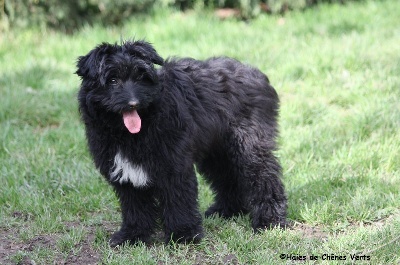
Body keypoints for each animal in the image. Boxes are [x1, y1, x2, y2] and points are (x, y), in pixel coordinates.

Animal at [76, 39, 288, 245]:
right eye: (112, 80)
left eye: (140, 77)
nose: (133, 103)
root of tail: (257, 75)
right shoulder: (126, 174)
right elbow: (135, 206)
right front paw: (132, 235)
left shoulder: (173, 164)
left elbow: (178, 199)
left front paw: (183, 234)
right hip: (217, 151)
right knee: (227, 177)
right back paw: (227, 211)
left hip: (249, 146)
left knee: (265, 177)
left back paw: (270, 221)